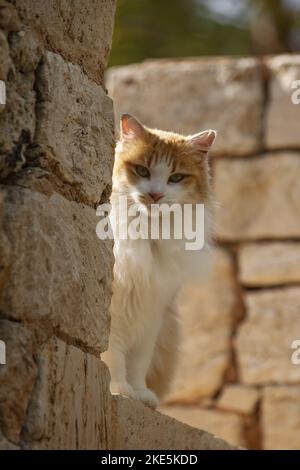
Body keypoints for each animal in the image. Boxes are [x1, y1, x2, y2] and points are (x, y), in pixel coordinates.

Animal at [102, 114, 217, 408]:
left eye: (175, 178)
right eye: (142, 171)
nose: (155, 195)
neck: (146, 233)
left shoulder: (152, 311)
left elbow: (138, 362)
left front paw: (141, 394)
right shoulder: (116, 310)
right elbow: (114, 355)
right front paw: (119, 390)